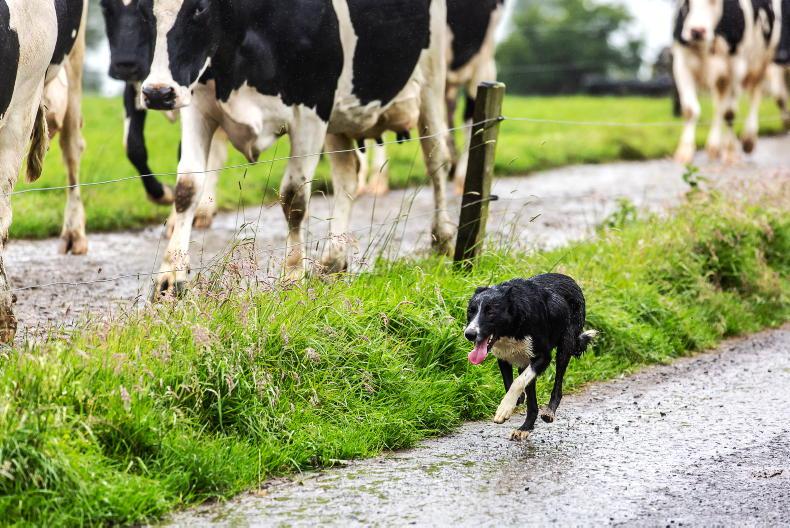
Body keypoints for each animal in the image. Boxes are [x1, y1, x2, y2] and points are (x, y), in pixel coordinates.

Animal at [100, 0, 228, 229]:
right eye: (105, 6)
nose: (125, 64)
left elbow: (182, 154)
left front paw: (175, 220)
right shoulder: (137, 89)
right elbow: (133, 146)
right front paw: (162, 194)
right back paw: (205, 210)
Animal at [140, 0, 455, 295]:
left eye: (200, 8)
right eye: (144, 8)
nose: (157, 93)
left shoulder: (312, 110)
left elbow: (294, 198)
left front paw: (292, 275)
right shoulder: (198, 105)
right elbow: (187, 188)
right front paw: (170, 278)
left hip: (432, 78)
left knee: (436, 158)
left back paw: (443, 239)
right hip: (339, 117)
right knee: (348, 174)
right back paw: (333, 260)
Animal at [672, 0, 782, 164]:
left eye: (713, 1)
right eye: (685, 2)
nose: (697, 31)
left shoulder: (736, 68)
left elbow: (729, 113)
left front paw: (730, 151)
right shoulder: (682, 64)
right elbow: (690, 109)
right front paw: (684, 151)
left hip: (762, 63)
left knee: (754, 97)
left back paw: (748, 140)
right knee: (719, 106)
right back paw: (714, 147)